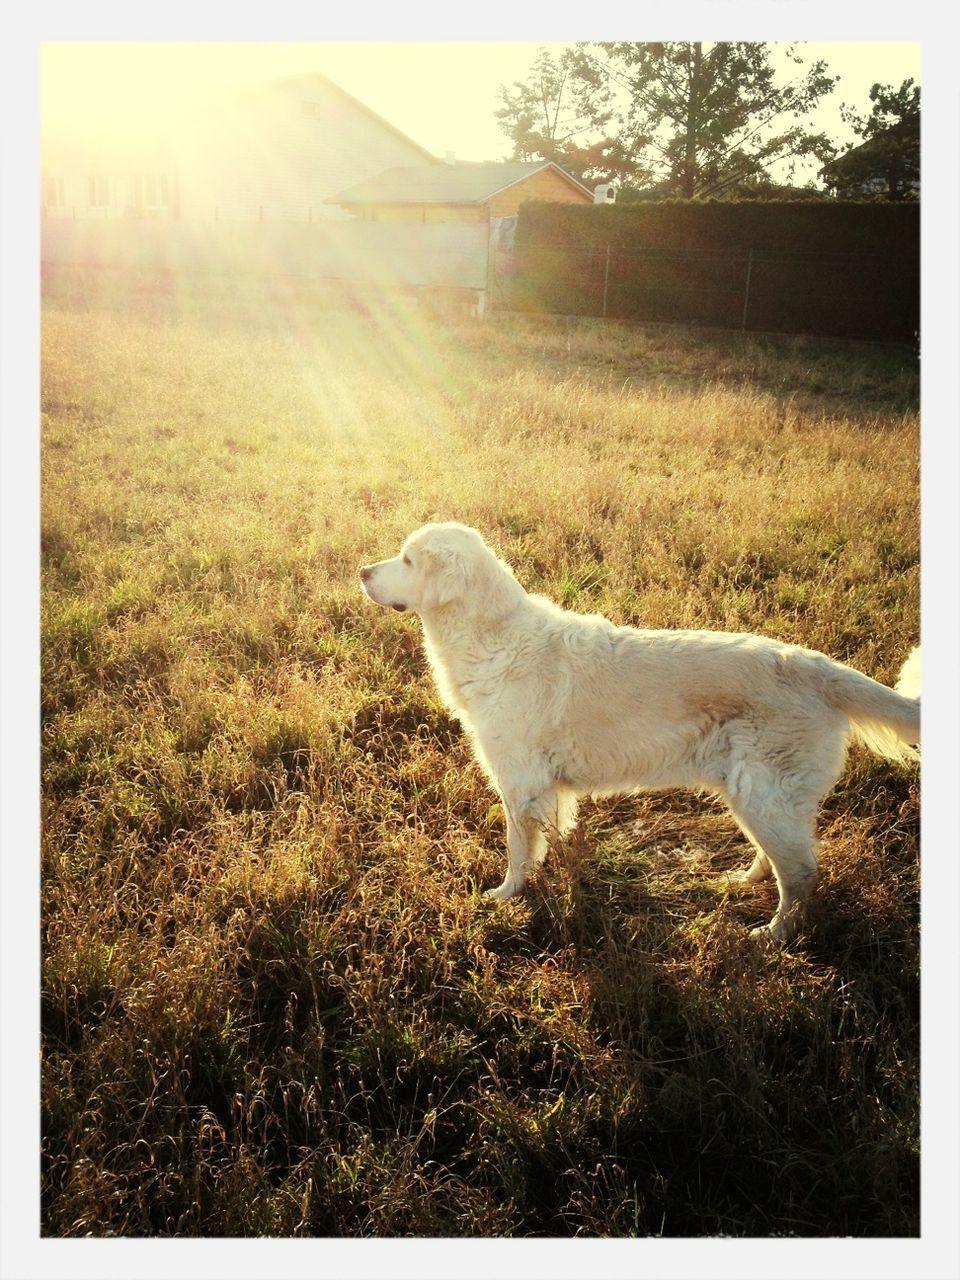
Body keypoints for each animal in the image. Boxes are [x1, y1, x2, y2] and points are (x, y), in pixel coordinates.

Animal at [358, 519, 921, 942]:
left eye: (407, 560)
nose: (361, 570)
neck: (491, 635)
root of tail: (817, 666)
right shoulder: (548, 789)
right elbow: (552, 842)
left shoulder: (520, 783)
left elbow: (518, 849)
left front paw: (505, 895)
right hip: (760, 797)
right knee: (782, 858)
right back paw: (743, 880)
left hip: (764, 793)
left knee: (802, 875)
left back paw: (773, 934)